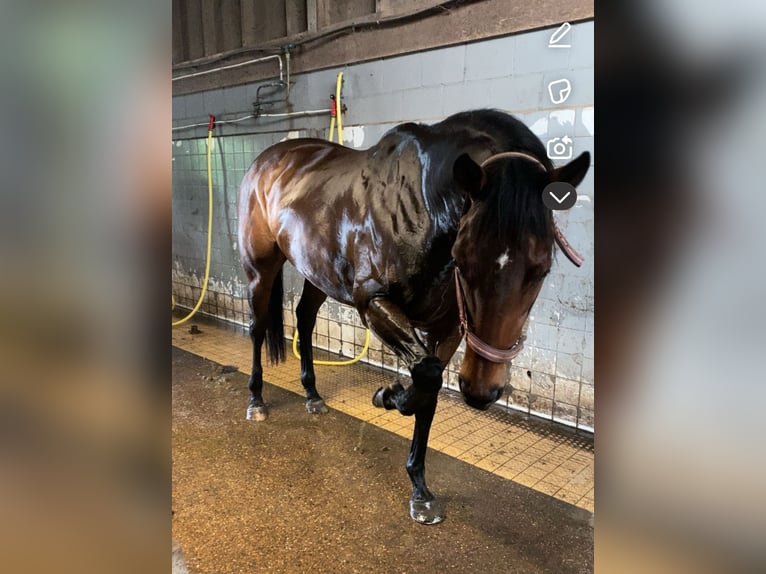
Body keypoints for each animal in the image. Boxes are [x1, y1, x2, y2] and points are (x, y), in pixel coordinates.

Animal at [237, 109, 590, 524]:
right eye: (464, 258)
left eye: (541, 269)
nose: (481, 390)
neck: (422, 210)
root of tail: (267, 160)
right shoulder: (372, 302)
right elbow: (424, 376)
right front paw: (385, 395)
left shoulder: (448, 328)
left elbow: (429, 388)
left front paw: (420, 489)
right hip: (260, 268)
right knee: (257, 327)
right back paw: (256, 401)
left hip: (317, 272)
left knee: (305, 320)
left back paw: (312, 394)